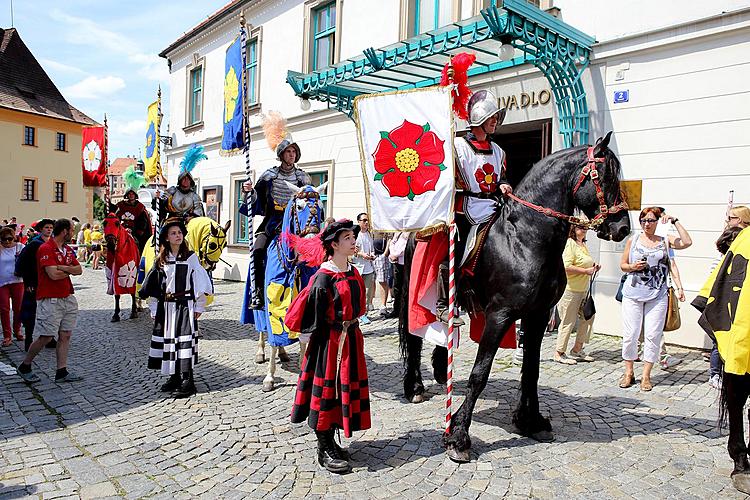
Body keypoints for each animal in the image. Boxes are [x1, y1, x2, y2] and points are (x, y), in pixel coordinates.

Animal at [402, 132, 632, 460]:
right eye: (606, 176)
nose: (622, 228)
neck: (527, 238)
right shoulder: (500, 315)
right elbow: (480, 373)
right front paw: (458, 435)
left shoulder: (538, 316)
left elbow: (531, 371)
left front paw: (530, 421)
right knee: (413, 338)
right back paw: (415, 388)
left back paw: (439, 370)